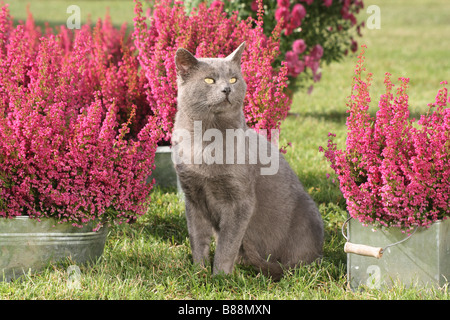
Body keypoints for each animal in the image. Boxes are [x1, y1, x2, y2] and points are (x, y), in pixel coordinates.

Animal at [171, 43, 322, 280]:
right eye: (209, 80)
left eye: (233, 79)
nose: (227, 89)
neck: (205, 141)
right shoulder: (193, 197)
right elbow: (197, 239)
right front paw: (199, 273)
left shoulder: (240, 201)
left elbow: (227, 245)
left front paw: (220, 278)